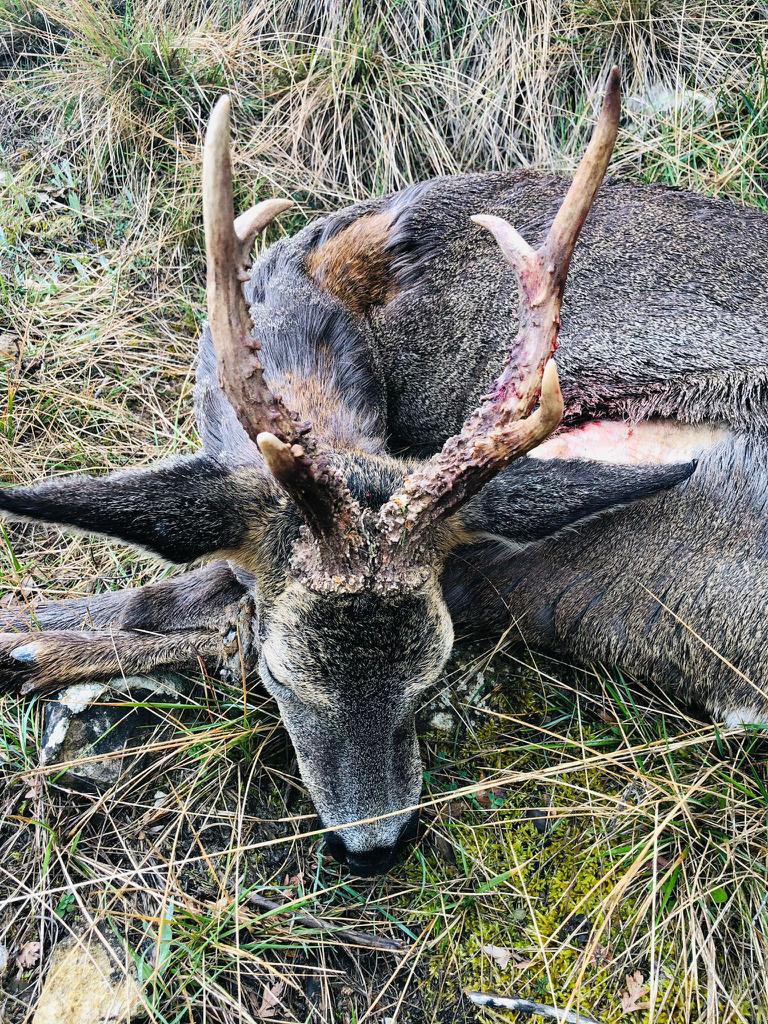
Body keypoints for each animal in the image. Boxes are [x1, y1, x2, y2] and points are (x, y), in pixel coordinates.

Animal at [1, 68, 767, 876]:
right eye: (285, 676)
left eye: (433, 671)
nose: (376, 847)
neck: (321, 305)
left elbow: (187, 596)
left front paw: (26, 643)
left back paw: (36, 655)